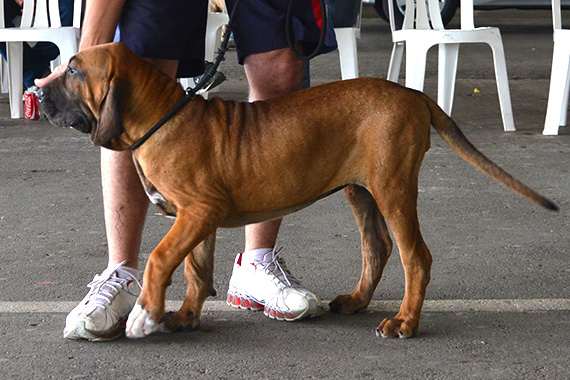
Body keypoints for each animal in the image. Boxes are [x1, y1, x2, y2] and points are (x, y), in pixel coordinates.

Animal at [38, 43, 556, 340]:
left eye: (75, 71)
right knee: (378, 246)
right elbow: (194, 269)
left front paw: (146, 314)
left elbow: (163, 258)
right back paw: (358, 301)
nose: (37, 92)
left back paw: (405, 323)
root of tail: (412, 93)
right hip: (361, 190)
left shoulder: (199, 212)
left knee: (415, 256)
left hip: (393, 186)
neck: (161, 118)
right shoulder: (197, 217)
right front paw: (184, 315)